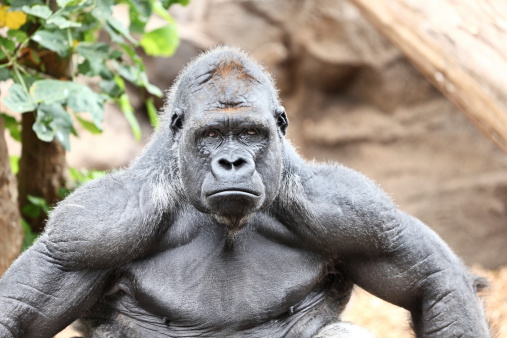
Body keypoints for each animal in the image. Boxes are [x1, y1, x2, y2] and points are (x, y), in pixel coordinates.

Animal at [0, 46, 490, 336]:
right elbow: (19, 311)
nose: (233, 162)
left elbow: (433, 281)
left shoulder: (356, 212)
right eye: (213, 135)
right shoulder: (92, 227)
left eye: (250, 134)